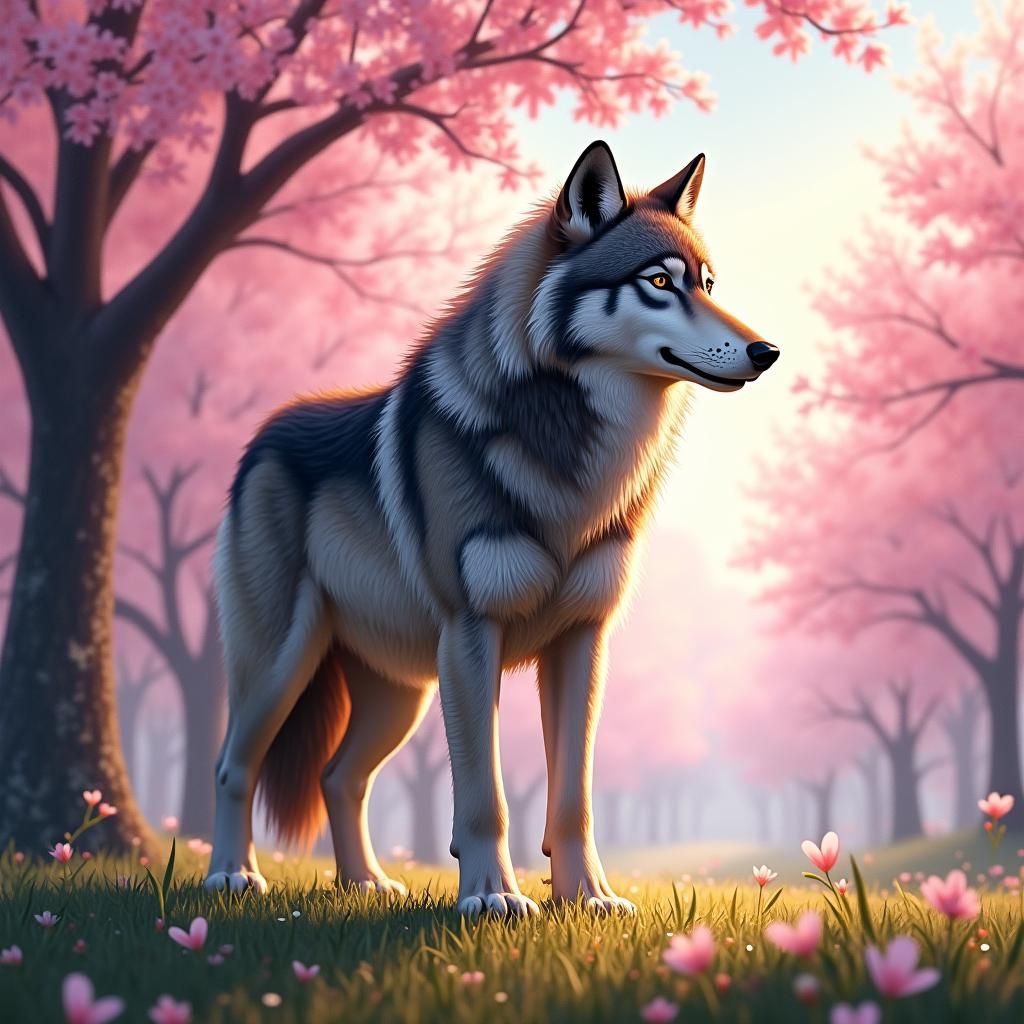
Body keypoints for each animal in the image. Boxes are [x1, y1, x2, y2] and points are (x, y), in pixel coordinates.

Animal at [204, 141, 779, 916]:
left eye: (710, 283)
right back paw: (232, 876)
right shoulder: (472, 636)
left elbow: (573, 798)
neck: (576, 465)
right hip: (281, 666)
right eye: (660, 282)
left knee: (338, 776)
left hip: (402, 693)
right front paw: (491, 897)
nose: (767, 351)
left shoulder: (583, 642)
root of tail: (265, 433)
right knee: (232, 765)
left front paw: (587, 898)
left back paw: (366, 884)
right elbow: (485, 795)